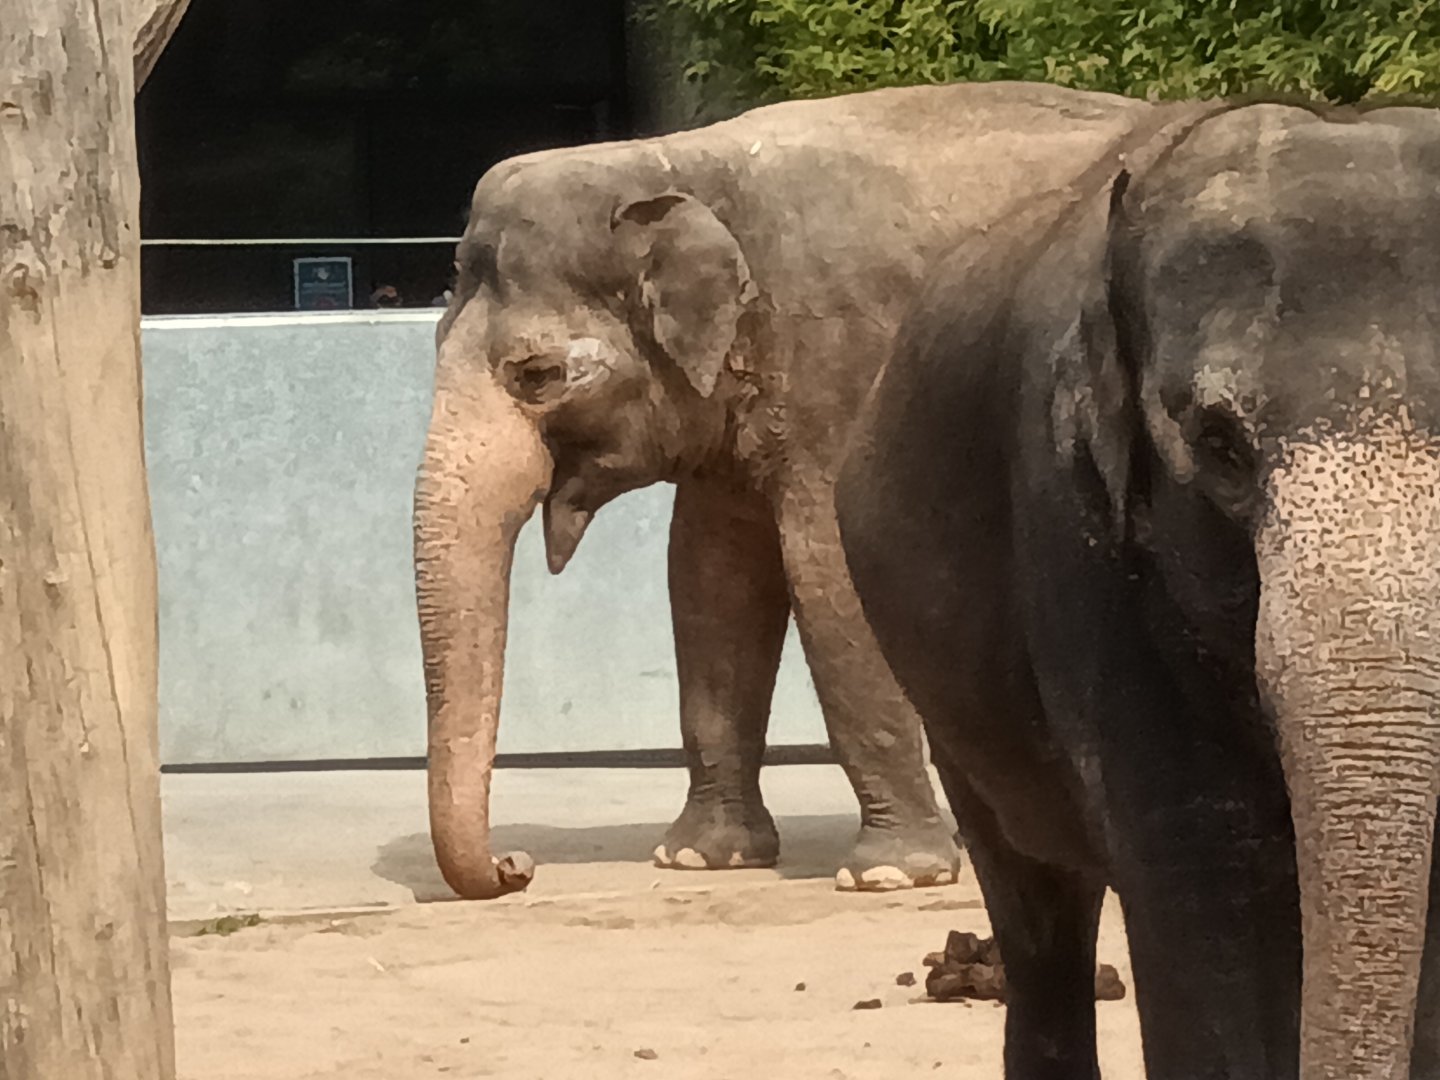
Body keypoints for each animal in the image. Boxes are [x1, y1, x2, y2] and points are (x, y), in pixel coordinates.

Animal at [413, 78, 1182, 902]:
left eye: (538, 375)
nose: (516, 865)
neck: (676, 163)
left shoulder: (843, 359)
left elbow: (829, 575)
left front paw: (889, 875)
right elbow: (709, 580)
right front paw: (701, 857)